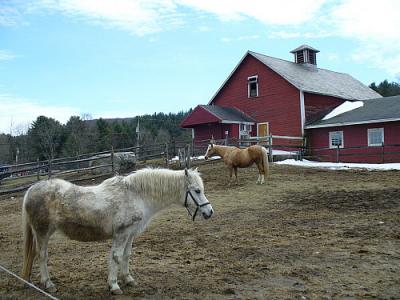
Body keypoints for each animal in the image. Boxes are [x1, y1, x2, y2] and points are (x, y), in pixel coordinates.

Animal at [20, 169, 214, 296]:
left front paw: (128, 279)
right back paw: (48, 284)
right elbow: (116, 256)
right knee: (42, 256)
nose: (209, 212)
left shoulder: (130, 234)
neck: (136, 195)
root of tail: (31, 189)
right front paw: (114, 286)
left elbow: (126, 256)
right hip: (43, 232)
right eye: (197, 190)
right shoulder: (121, 234)